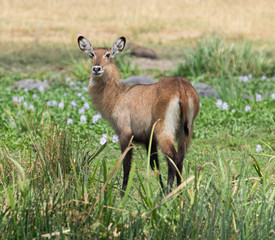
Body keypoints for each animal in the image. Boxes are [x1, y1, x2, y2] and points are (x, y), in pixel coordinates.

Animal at [77, 35, 201, 195]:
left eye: (108, 54)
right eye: (92, 54)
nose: (97, 68)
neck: (118, 96)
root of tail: (180, 86)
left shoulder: (125, 134)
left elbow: (126, 163)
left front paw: (123, 192)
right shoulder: (149, 140)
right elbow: (154, 166)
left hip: (164, 130)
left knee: (172, 157)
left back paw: (168, 192)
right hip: (185, 132)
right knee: (180, 158)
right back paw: (180, 191)